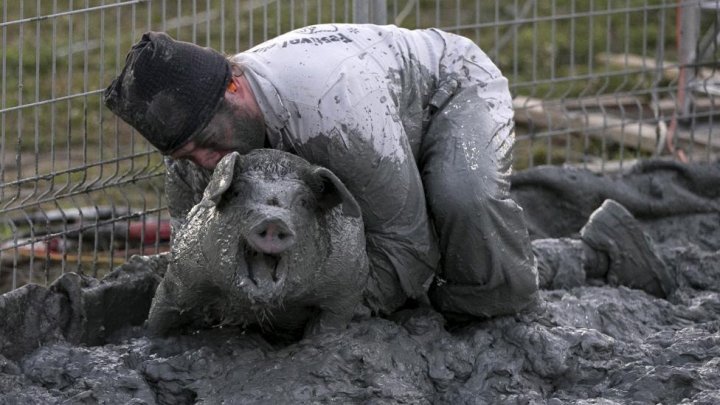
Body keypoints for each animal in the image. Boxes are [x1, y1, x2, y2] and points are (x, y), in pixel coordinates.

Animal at [148, 150, 372, 336]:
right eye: (237, 192)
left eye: (304, 202)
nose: (273, 219)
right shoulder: (182, 275)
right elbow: (159, 316)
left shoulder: (347, 287)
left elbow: (330, 323)